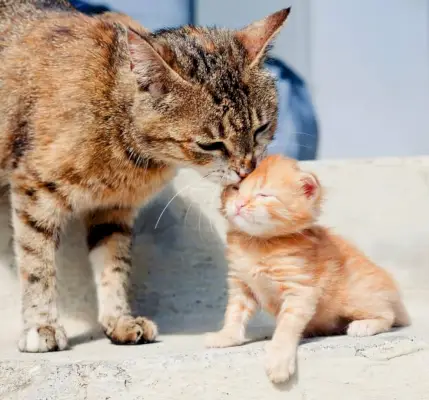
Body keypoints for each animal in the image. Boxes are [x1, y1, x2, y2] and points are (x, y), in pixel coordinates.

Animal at [0, 0, 290, 352]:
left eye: (261, 128)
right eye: (211, 144)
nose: (248, 167)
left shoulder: (113, 209)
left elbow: (113, 266)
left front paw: (119, 321)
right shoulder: (34, 188)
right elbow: (37, 265)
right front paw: (41, 325)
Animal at [206, 154, 410, 384]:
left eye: (264, 194)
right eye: (236, 188)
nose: (240, 204)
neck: (258, 244)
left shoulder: (300, 290)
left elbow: (287, 326)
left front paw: (278, 359)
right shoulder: (241, 286)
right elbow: (234, 314)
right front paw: (227, 336)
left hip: (357, 297)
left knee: (388, 314)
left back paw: (364, 325)